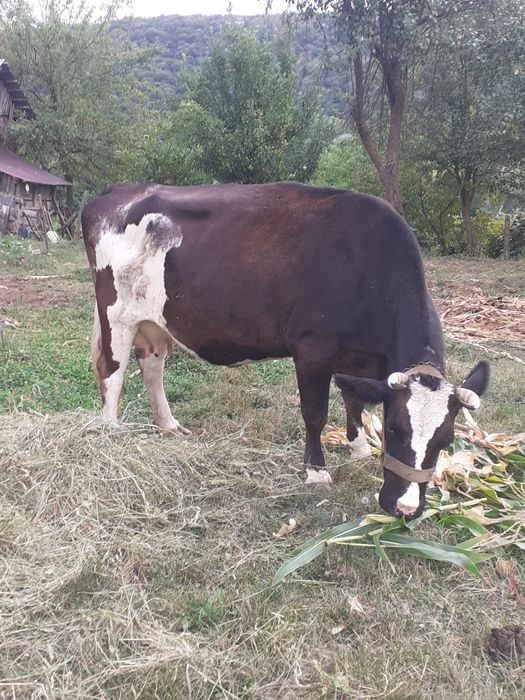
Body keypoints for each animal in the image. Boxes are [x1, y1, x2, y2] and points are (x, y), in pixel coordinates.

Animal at [82, 182, 489, 519]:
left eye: (446, 440)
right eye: (394, 429)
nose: (404, 508)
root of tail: (118, 191)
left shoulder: (357, 358)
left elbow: (353, 399)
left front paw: (358, 448)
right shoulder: (312, 348)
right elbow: (315, 413)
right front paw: (316, 471)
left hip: (154, 321)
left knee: (152, 368)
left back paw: (169, 426)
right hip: (117, 314)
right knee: (112, 372)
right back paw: (111, 434)